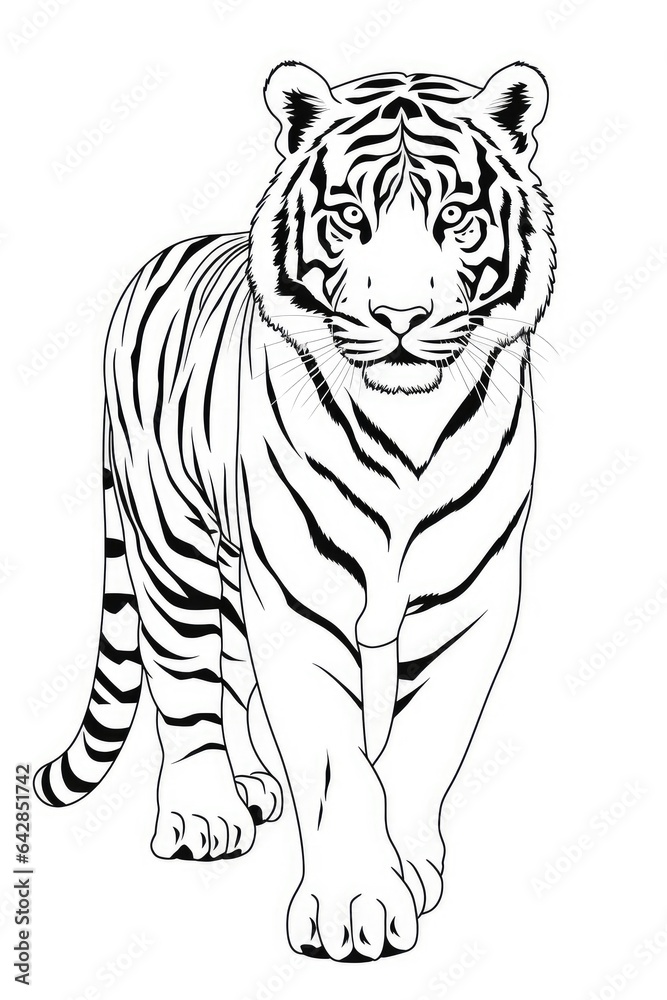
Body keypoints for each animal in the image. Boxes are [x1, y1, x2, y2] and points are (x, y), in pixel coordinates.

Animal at [35, 60, 555, 962]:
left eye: (454, 217)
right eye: (351, 217)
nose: (400, 319)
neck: (406, 421)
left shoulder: (468, 599)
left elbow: (426, 742)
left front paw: (408, 868)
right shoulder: (304, 599)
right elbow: (333, 757)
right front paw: (353, 908)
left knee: (230, 668)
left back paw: (251, 781)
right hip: (172, 541)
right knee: (186, 676)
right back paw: (206, 810)